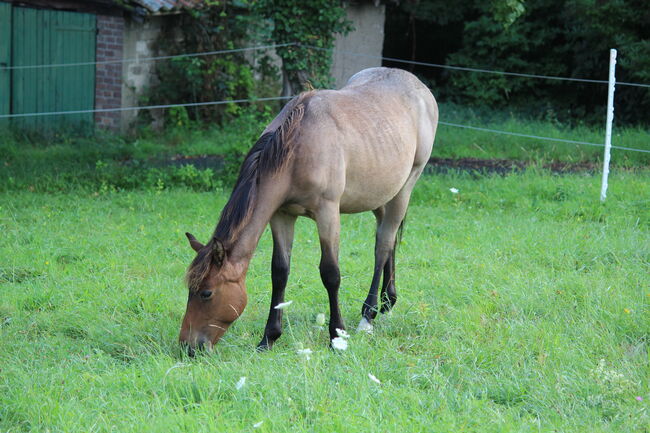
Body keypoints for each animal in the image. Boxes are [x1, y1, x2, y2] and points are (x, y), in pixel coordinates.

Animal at [180, 66, 438, 352]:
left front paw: (337, 336)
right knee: (388, 238)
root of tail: (418, 85)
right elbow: (279, 272)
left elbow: (331, 273)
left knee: (382, 246)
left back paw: (368, 316)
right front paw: (269, 337)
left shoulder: (327, 213)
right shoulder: (281, 216)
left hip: (405, 188)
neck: (296, 146)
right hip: (381, 195)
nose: (189, 346)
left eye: (206, 293)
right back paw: (387, 301)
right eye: (189, 290)